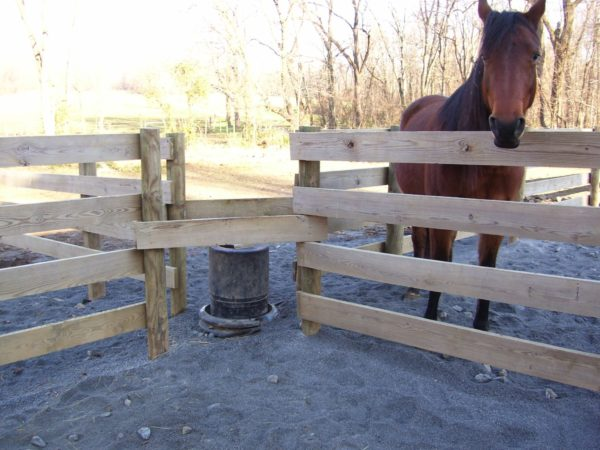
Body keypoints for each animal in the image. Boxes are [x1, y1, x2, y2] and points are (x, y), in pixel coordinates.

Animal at [396, 0, 548, 330]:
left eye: (535, 54)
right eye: (484, 56)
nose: (506, 127)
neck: (480, 162)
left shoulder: (495, 222)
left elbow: (486, 271)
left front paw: (481, 328)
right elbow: (441, 262)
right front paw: (431, 318)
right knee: (420, 238)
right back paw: (414, 288)